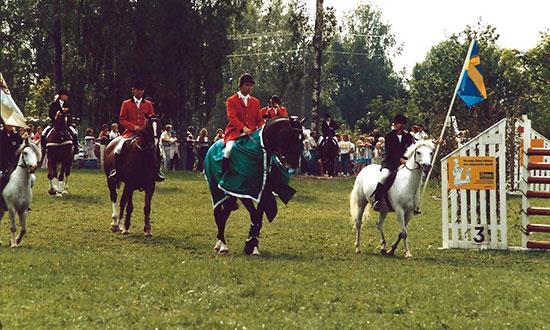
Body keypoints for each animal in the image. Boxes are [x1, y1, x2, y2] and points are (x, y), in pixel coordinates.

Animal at [208, 117, 304, 256]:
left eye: (301, 137)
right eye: (290, 135)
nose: (295, 163)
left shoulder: (263, 194)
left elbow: (258, 218)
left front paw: (253, 246)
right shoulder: (243, 192)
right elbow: (255, 217)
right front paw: (250, 243)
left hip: (230, 196)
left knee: (224, 215)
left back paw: (221, 244)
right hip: (216, 191)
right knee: (218, 215)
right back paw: (222, 245)